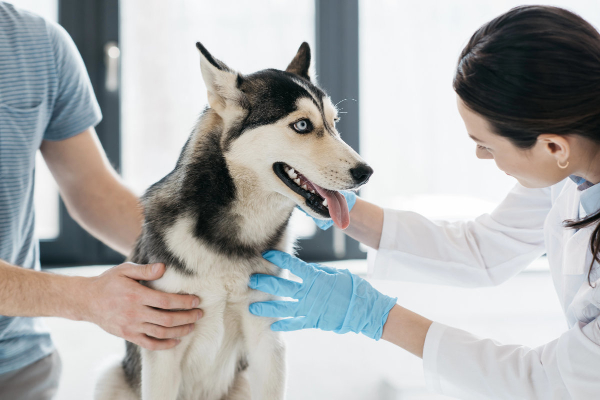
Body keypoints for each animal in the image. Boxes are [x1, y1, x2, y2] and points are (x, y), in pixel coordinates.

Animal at [95, 42, 370, 398]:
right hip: (109, 376)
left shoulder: (267, 338)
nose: (366, 172)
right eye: (302, 125)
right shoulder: (164, 343)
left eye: (333, 122)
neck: (230, 242)